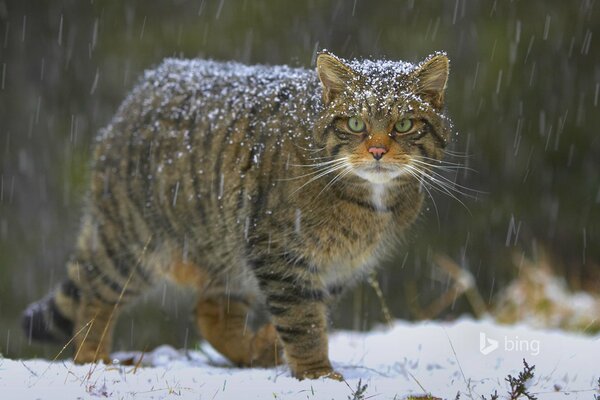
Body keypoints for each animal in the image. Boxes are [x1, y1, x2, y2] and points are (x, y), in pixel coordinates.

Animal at [22, 50, 450, 382]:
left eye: (404, 124)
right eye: (356, 123)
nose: (377, 151)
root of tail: (145, 85)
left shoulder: (338, 268)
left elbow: (309, 314)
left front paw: (279, 347)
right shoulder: (281, 251)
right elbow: (303, 321)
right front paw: (316, 373)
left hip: (228, 251)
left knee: (211, 313)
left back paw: (254, 349)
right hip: (133, 243)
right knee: (93, 296)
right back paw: (94, 357)